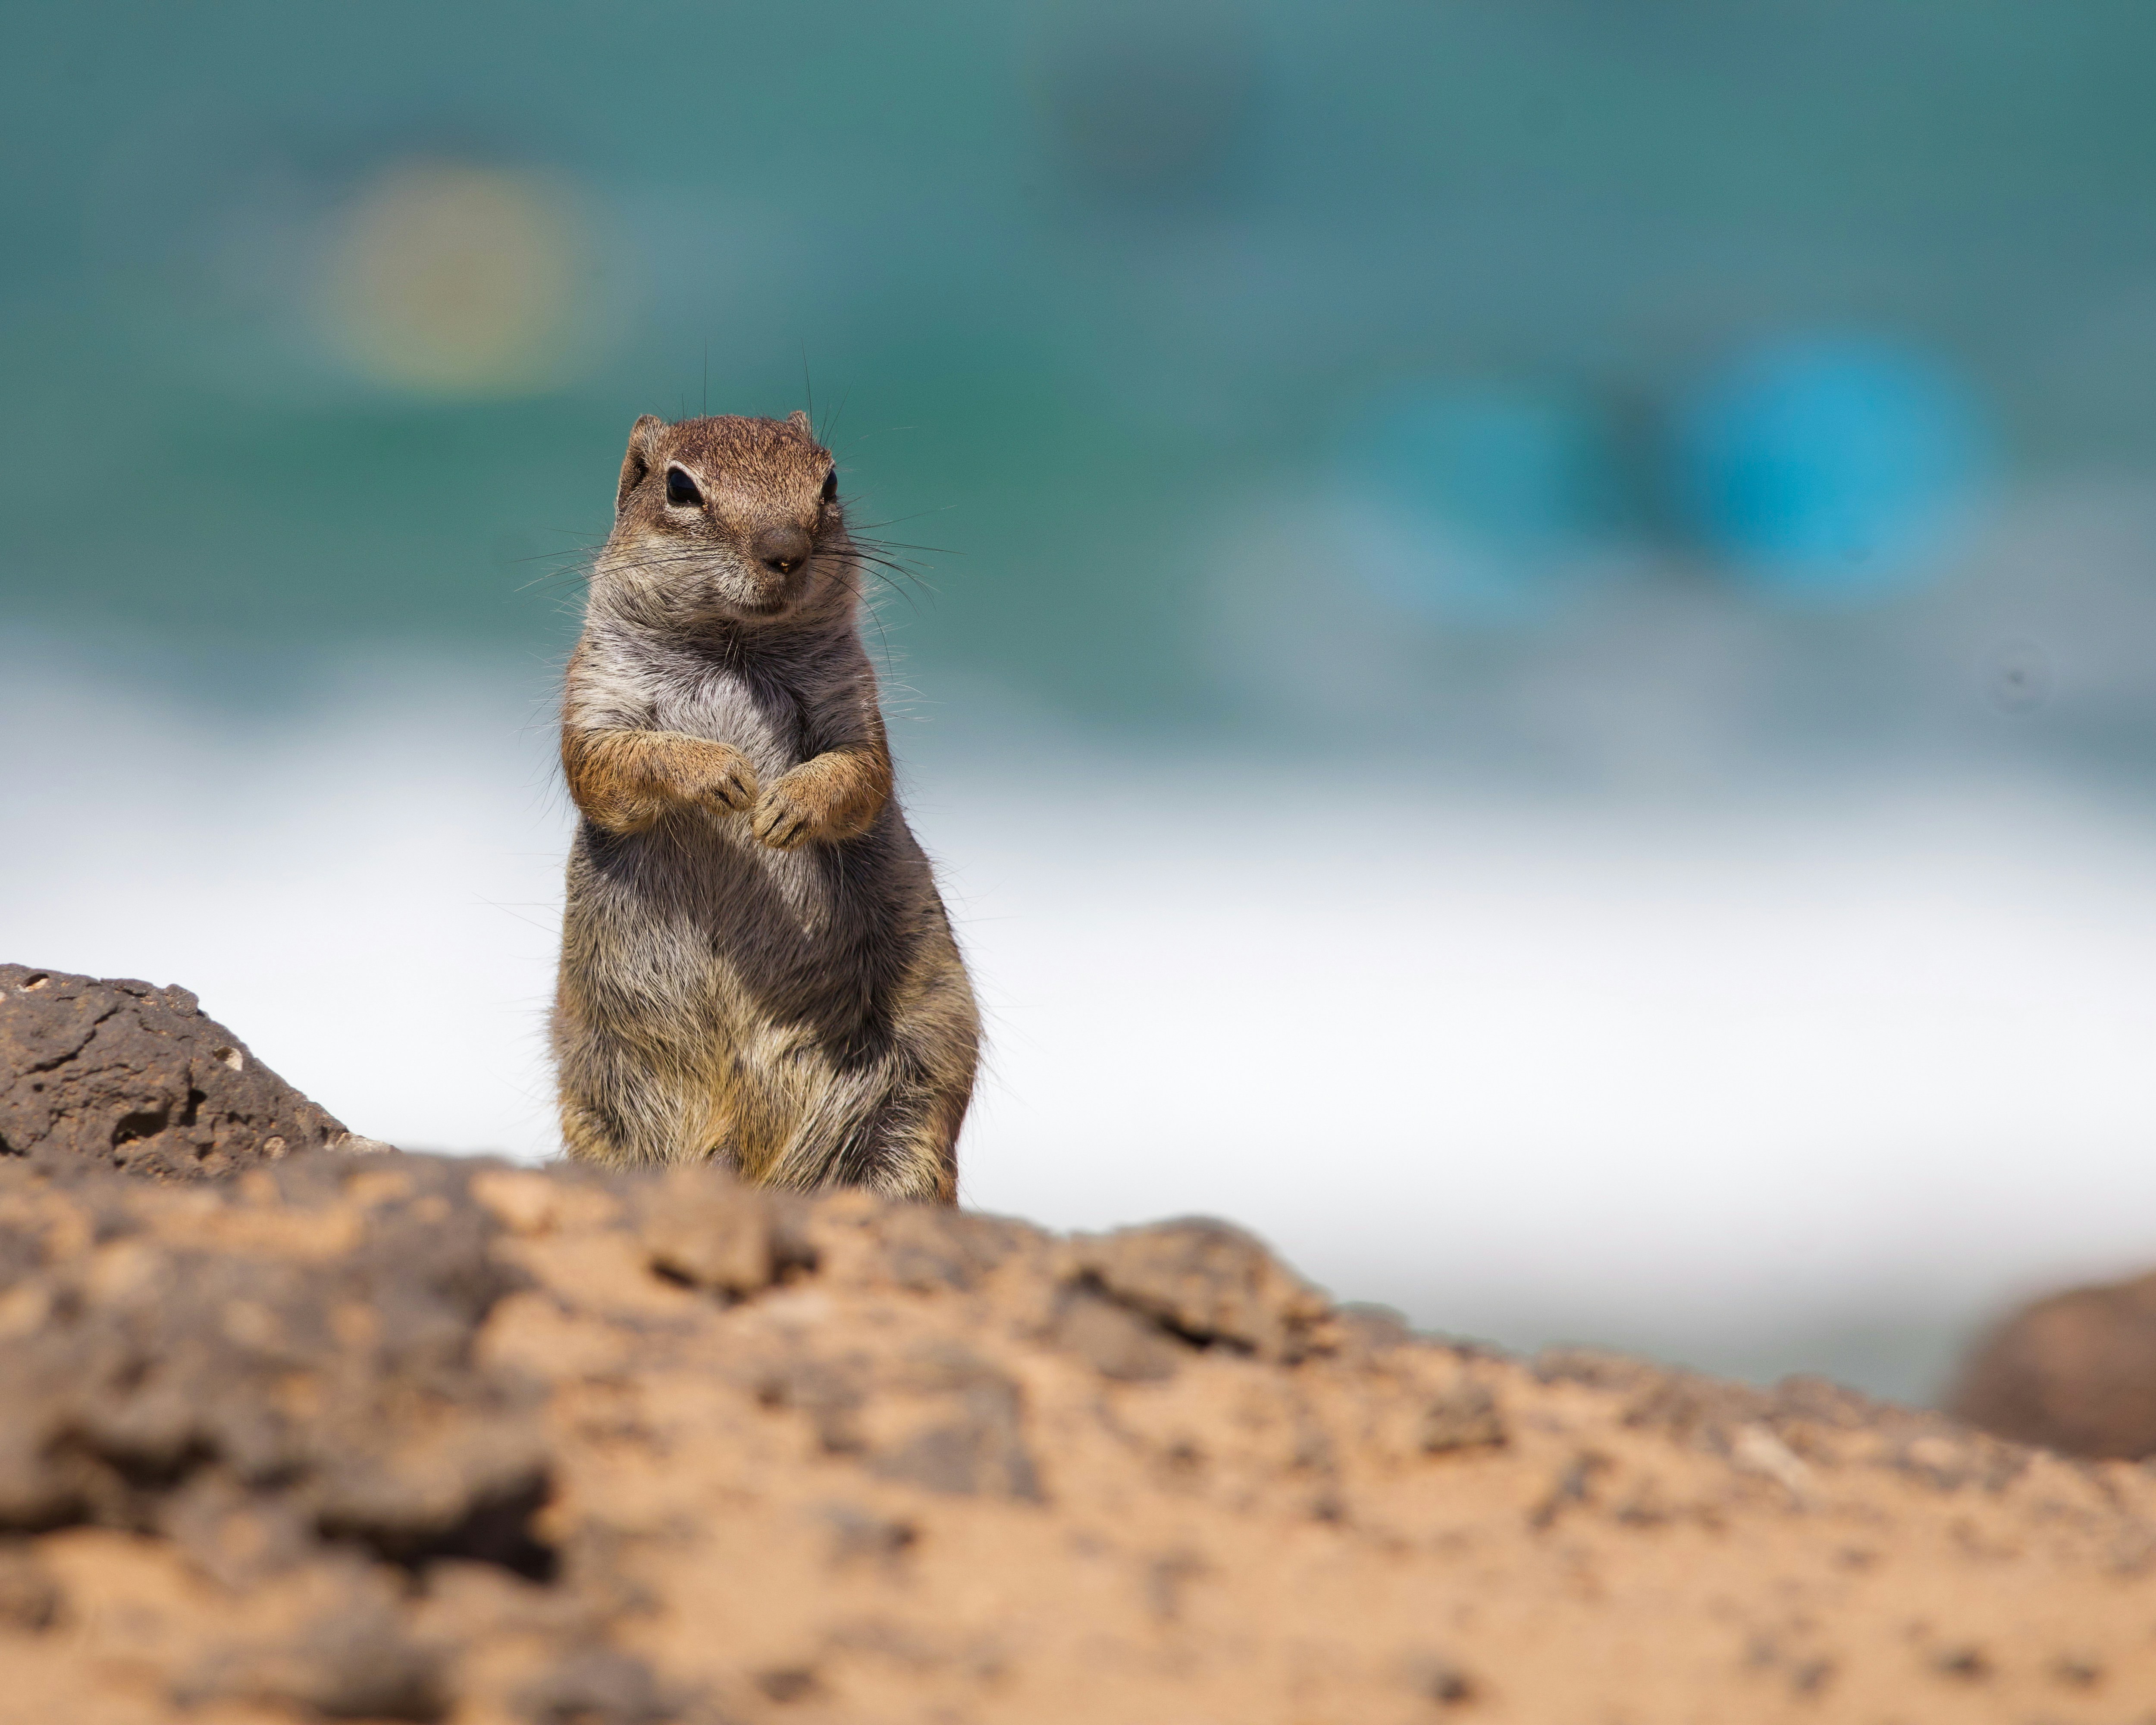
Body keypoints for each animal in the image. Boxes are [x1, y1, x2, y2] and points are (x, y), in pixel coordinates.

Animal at [550, 410, 980, 1203]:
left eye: (830, 481)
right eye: (679, 487)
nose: (786, 551)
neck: (733, 647)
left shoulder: (852, 704)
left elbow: (860, 775)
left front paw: (783, 807)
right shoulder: (595, 694)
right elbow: (607, 764)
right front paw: (721, 773)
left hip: (911, 1107)